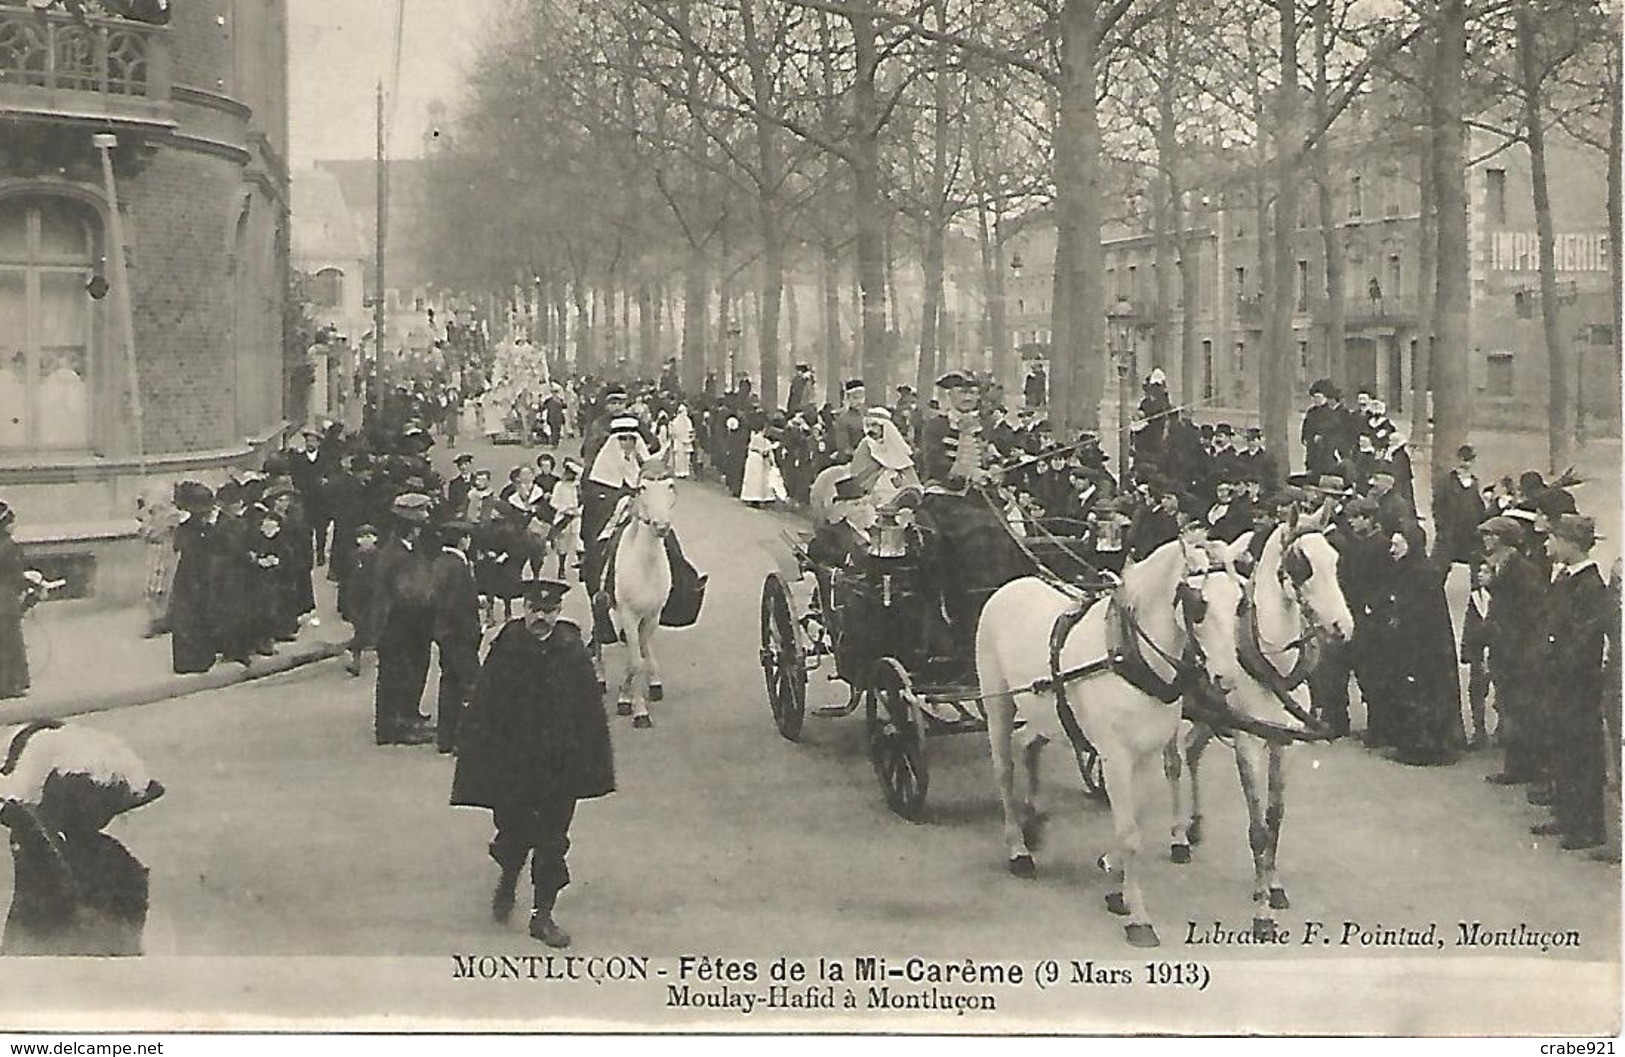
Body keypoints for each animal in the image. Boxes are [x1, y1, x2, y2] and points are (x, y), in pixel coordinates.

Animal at [975, 536, 1222, 949]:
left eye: (1243, 598)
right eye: (1200, 604)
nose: (1223, 679)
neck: (1127, 655)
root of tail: (1008, 587)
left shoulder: (1146, 753)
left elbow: (1136, 819)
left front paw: (1117, 881)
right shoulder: (1116, 756)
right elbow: (1130, 833)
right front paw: (1138, 918)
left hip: (1046, 712)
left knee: (1028, 743)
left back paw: (1033, 820)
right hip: (998, 701)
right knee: (1004, 771)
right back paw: (1018, 848)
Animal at [1170, 513, 1358, 936]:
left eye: (1336, 559)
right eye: (1302, 564)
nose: (1343, 627)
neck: (1268, 661)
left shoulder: (1281, 742)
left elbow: (1275, 817)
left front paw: (1274, 886)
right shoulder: (1248, 743)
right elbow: (1257, 829)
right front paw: (1261, 914)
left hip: (1211, 714)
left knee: (1192, 751)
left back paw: (1195, 826)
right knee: (1172, 761)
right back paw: (1177, 838)